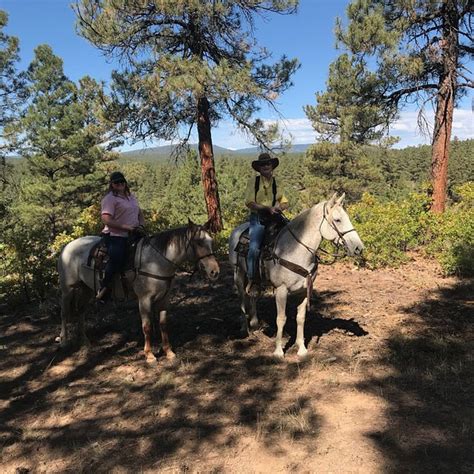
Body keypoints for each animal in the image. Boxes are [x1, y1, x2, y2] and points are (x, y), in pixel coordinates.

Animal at [58, 221, 219, 362]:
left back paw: (85, 341)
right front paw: (149, 355)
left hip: (87, 289)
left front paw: (168, 352)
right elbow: (146, 327)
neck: (156, 262)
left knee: (81, 312)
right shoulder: (144, 300)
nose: (214, 272)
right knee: (65, 313)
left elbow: (163, 324)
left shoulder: (164, 298)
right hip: (67, 290)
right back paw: (63, 341)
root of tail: (67, 246)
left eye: (211, 241)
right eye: (198, 242)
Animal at [229, 193, 362, 360]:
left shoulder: (304, 291)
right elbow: (281, 319)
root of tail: (238, 229)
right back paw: (244, 328)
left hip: (256, 279)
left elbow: (301, 318)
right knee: (242, 297)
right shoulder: (281, 290)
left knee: (252, 294)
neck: (295, 250)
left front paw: (302, 349)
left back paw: (254, 323)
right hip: (238, 273)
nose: (358, 248)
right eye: (337, 220)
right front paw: (278, 351)